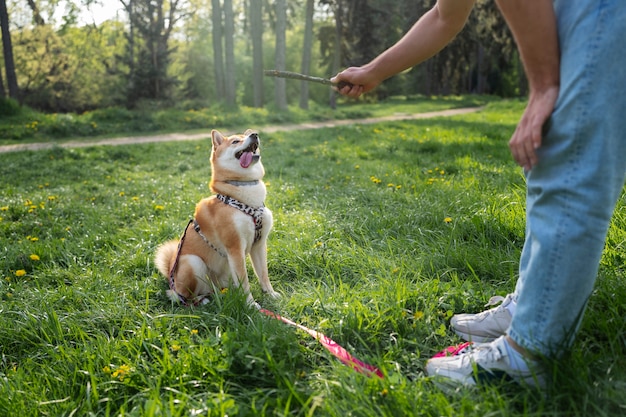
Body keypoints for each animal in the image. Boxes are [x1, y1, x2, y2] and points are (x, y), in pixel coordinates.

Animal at [156, 128, 280, 308]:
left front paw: (270, 294)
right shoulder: (235, 247)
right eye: (235, 141)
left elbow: (263, 274)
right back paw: (200, 301)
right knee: (185, 297)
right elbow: (245, 281)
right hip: (192, 262)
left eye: (247, 136)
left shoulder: (259, 244)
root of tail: (171, 281)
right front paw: (251, 305)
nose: (255, 134)